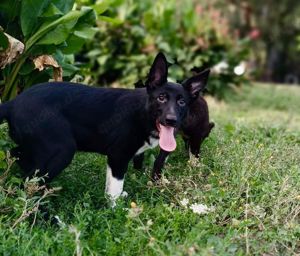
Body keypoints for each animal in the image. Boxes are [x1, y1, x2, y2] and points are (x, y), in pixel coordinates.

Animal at [0, 52, 210, 204]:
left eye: (182, 102)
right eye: (161, 98)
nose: (171, 120)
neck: (142, 113)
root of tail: (12, 103)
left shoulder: (115, 159)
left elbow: (110, 187)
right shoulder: (118, 156)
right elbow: (114, 190)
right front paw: (117, 212)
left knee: (16, 155)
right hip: (61, 149)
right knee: (29, 187)